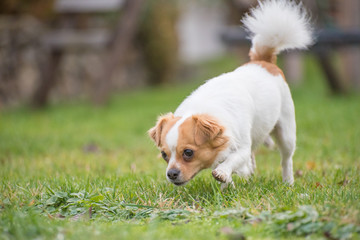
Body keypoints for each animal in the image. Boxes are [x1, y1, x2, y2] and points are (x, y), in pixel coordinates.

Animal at [149, 0, 312, 189]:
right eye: (164, 155)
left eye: (188, 152)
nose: (171, 173)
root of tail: (263, 61)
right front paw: (228, 185)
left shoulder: (242, 147)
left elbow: (233, 159)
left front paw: (222, 173)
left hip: (286, 131)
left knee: (286, 158)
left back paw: (288, 182)